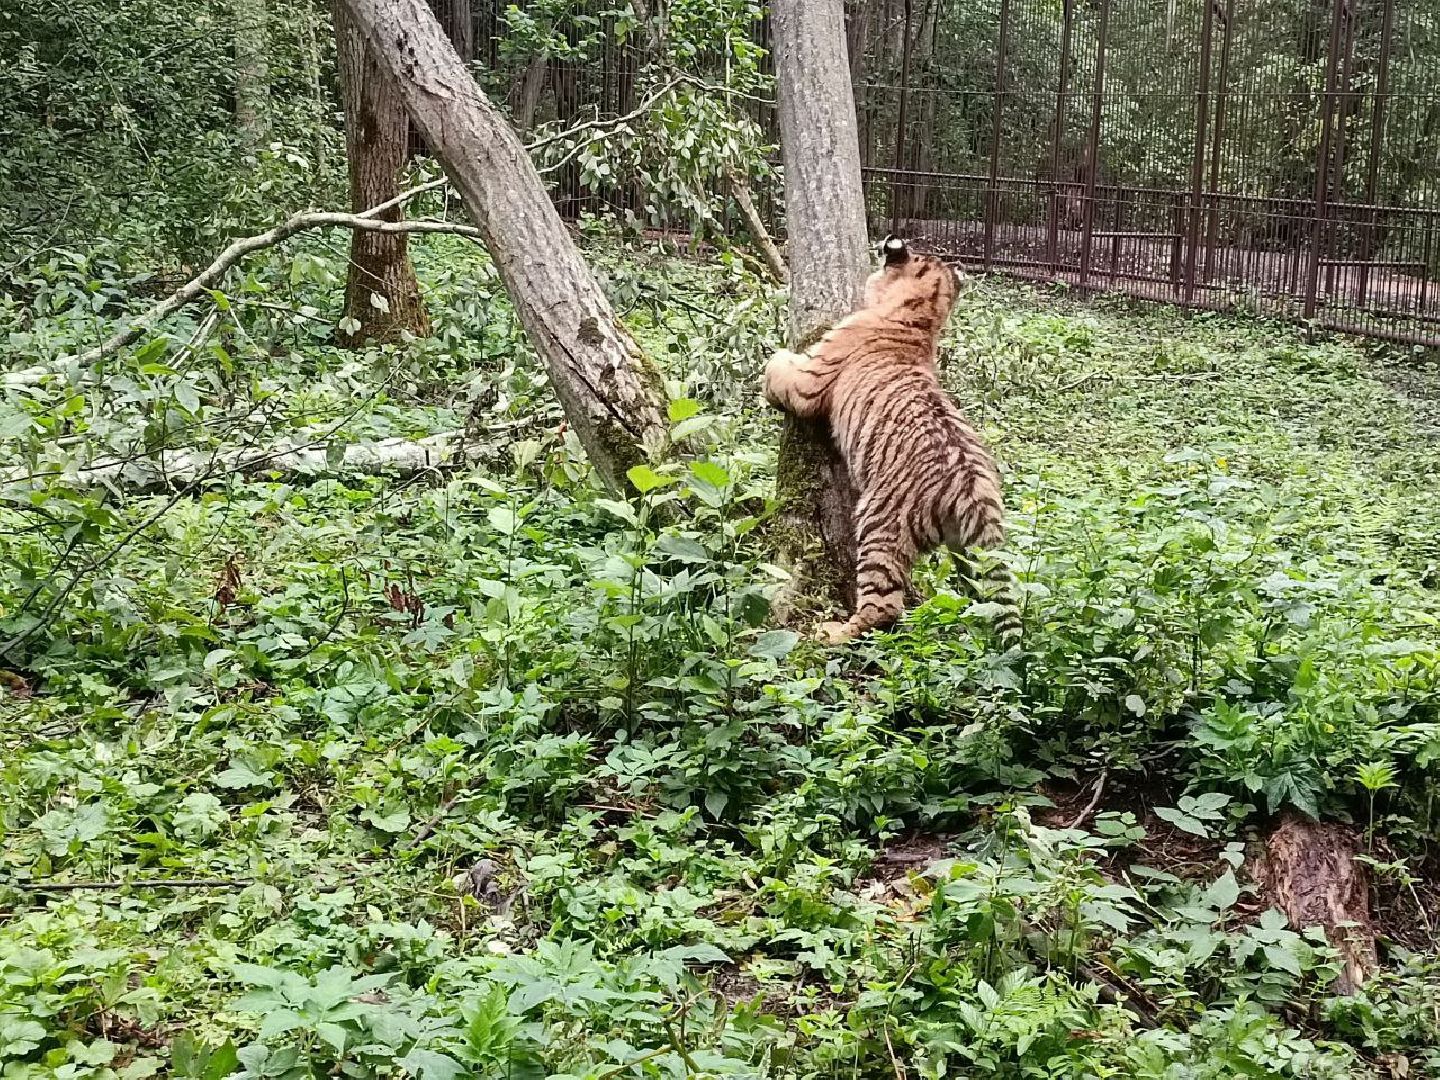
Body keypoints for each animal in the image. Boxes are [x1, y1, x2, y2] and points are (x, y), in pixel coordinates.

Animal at [762, 237, 1021, 646]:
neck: (920, 320)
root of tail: (974, 490)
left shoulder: (814, 378)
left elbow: (786, 374)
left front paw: (772, 362)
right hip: (970, 551)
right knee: (985, 596)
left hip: (879, 524)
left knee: (882, 607)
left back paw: (833, 632)